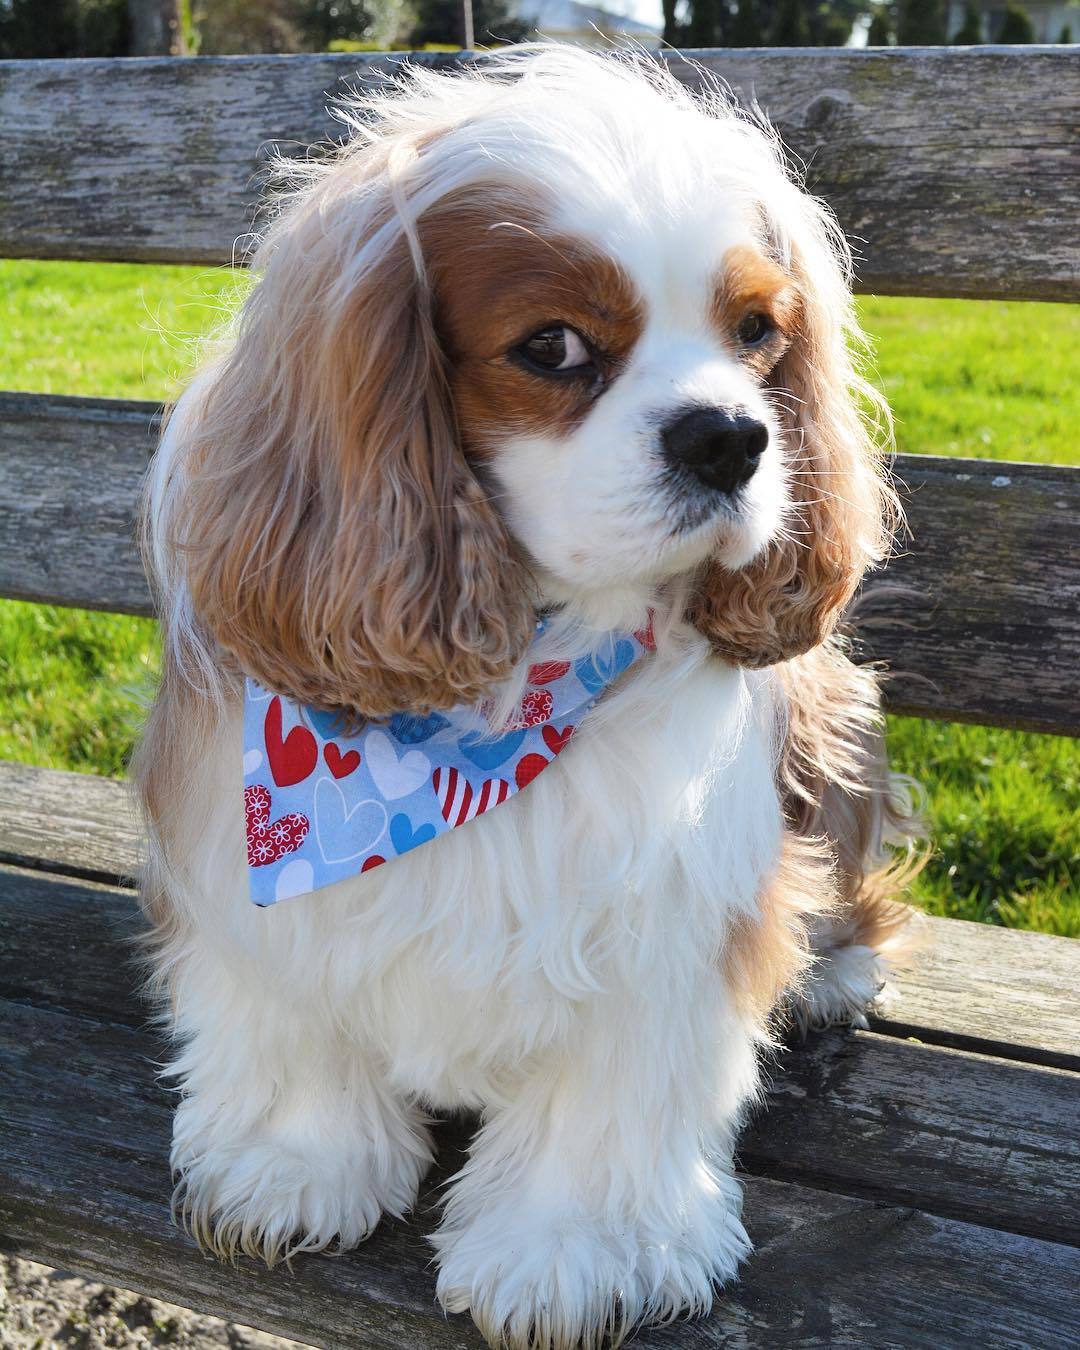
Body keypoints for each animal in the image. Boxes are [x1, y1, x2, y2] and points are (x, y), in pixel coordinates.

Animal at [137, 47, 918, 1350]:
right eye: (551, 347)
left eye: (758, 332)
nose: (733, 436)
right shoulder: (253, 884)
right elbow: (289, 1017)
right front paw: (292, 1165)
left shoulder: (662, 918)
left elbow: (608, 1098)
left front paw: (572, 1251)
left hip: (833, 720)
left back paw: (833, 970)